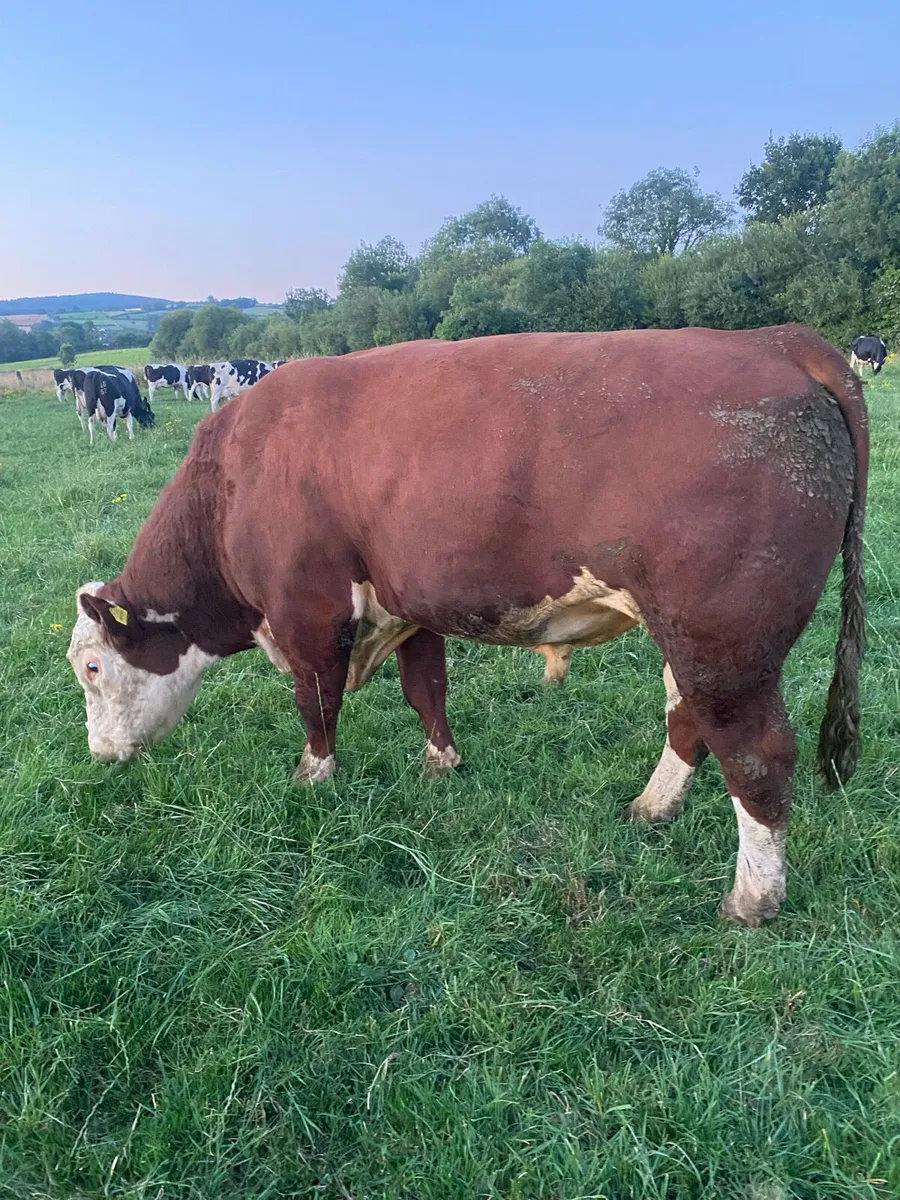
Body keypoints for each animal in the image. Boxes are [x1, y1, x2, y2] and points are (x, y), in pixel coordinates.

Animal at [67, 325, 867, 928]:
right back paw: (652, 808)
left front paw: (313, 778)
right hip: (691, 640)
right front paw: (440, 764)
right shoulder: (409, 603)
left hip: (725, 642)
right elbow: (426, 689)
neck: (232, 482)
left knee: (758, 756)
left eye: (92, 667)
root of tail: (775, 338)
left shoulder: (307, 614)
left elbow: (317, 703)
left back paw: (752, 900)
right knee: (688, 722)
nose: (100, 755)